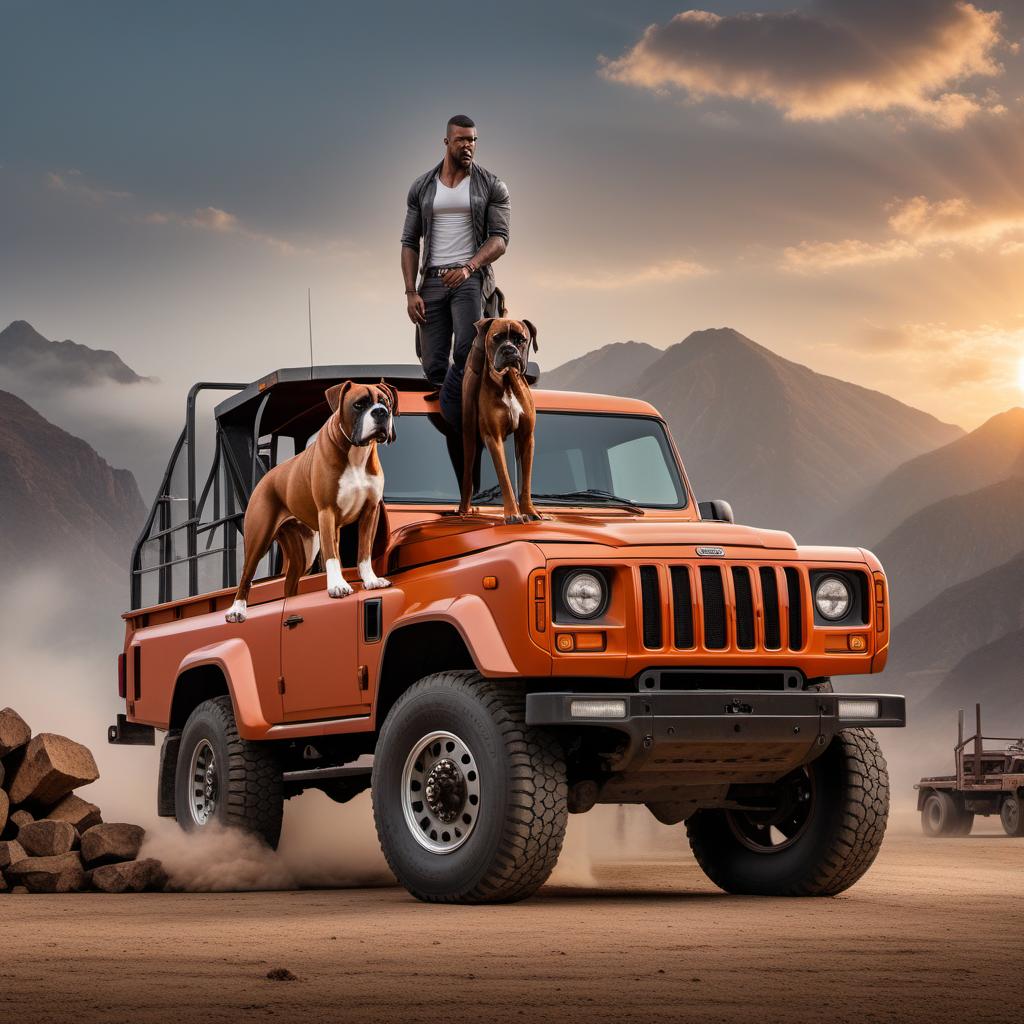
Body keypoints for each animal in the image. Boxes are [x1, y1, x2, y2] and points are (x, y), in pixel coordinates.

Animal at [226, 378, 397, 622]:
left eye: (386, 403)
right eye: (359, 404)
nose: (381, 412)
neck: (356, 454)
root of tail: (266, 478)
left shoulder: (369, 513)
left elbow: (364, 552)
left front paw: (371, 580)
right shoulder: (327, 512)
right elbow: (333, 556)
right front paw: (337, 586)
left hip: (303, 555)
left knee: (290, 585)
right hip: (259, 539)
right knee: (245, 577)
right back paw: (236, 610)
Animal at [458, 315, 544, 524]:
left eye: (520, 339)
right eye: (497, 338)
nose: (509, 350)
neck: (508, 383)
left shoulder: (527, 437)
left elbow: (526, 480)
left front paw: (529, 510)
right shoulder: (493, 437)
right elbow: (504, 477)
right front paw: (513, 513)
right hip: (469, 436)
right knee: (467, 474)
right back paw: (463, 510)